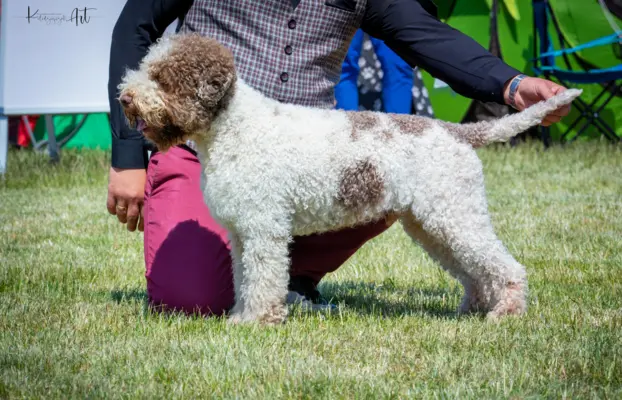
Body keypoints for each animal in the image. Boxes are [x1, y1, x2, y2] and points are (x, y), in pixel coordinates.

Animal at [118, 32, 584, 324]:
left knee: (504, 265)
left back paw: (505, 313)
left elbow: (263, 279)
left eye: (163, 77)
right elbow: (243, 278)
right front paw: (241, 315)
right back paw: (472, 310)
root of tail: (457, 131)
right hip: (432, 222)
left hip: (455, 213)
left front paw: (257, 321)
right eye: (147, 67)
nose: (124, 97)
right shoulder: (241, 232)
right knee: (472, 270)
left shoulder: (264, 228)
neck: (235, 126)